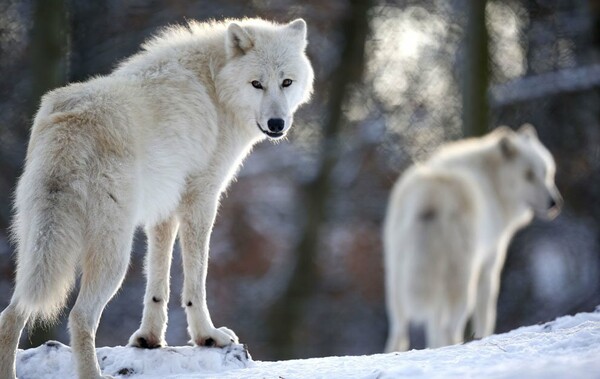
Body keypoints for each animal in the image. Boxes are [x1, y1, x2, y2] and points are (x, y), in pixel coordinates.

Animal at [0, 16, 316, 378]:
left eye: (286, 82)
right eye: (257, 84)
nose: (277, 123)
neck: (214, 86)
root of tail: (70, 125)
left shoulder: (164, 209)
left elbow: (157, 280)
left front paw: (148, 339)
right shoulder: (201, 199)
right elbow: (196, 280)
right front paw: (207, 336)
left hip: (37, 249)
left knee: (11, 314)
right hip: (113, 256)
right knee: (80, 317)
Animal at [384, 126, 564, 352]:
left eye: (546, 173)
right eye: (528, 175)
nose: (554, 203)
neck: (493, 182)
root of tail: (431, 195)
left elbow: (433, 326)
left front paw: (434, 347)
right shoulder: (489, 267)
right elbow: (486, 316)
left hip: (398, 284)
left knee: (399, 332)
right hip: (462, 283)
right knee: (449, 327)